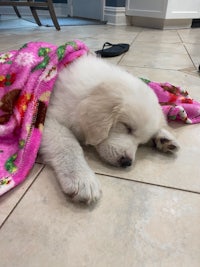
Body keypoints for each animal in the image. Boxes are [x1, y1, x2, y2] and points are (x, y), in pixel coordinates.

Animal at [39, 54, 180, 205]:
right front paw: (82, 179)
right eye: (127, 127)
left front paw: (164, 138)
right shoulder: (47, 119)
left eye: (141, 143)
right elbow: (68, 145)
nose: (127, 162)